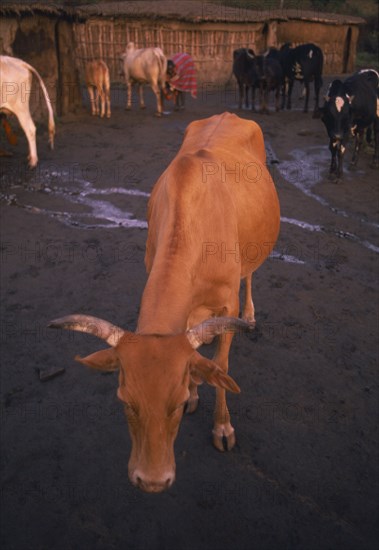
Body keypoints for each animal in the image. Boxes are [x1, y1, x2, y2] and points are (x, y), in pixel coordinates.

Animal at [49, 113, 280, 496]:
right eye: (126, 401)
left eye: (175, 403)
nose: (152, 481)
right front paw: (198, 387)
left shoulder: (226, 305)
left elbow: (221, 364)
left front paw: (222, 426)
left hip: (254, 251)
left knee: (250, 274)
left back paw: (251, 313)